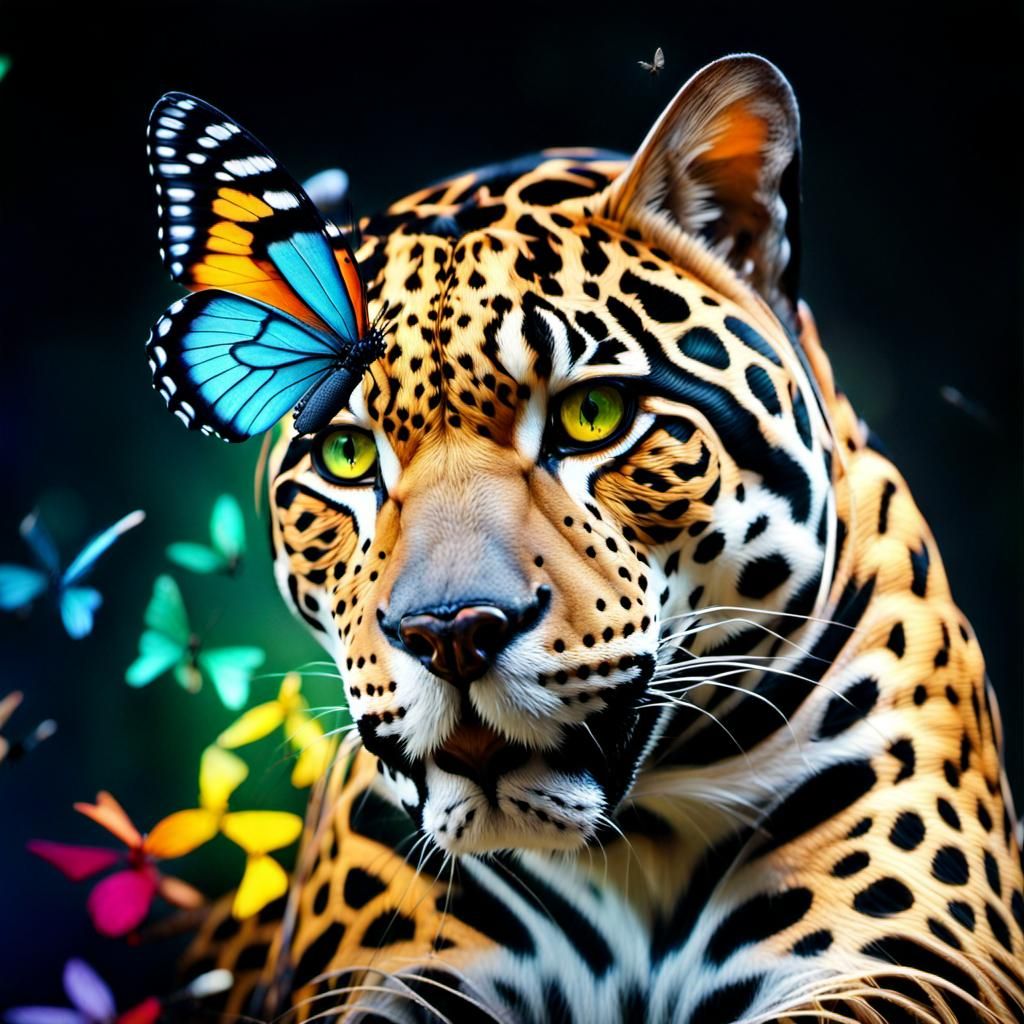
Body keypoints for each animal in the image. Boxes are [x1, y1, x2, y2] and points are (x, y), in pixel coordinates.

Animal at [178, 54, 1024, 1023]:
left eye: (594, 416)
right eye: (349, 454)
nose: (450, 634)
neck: (637, 857)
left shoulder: (917, 960)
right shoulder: (379, 975)